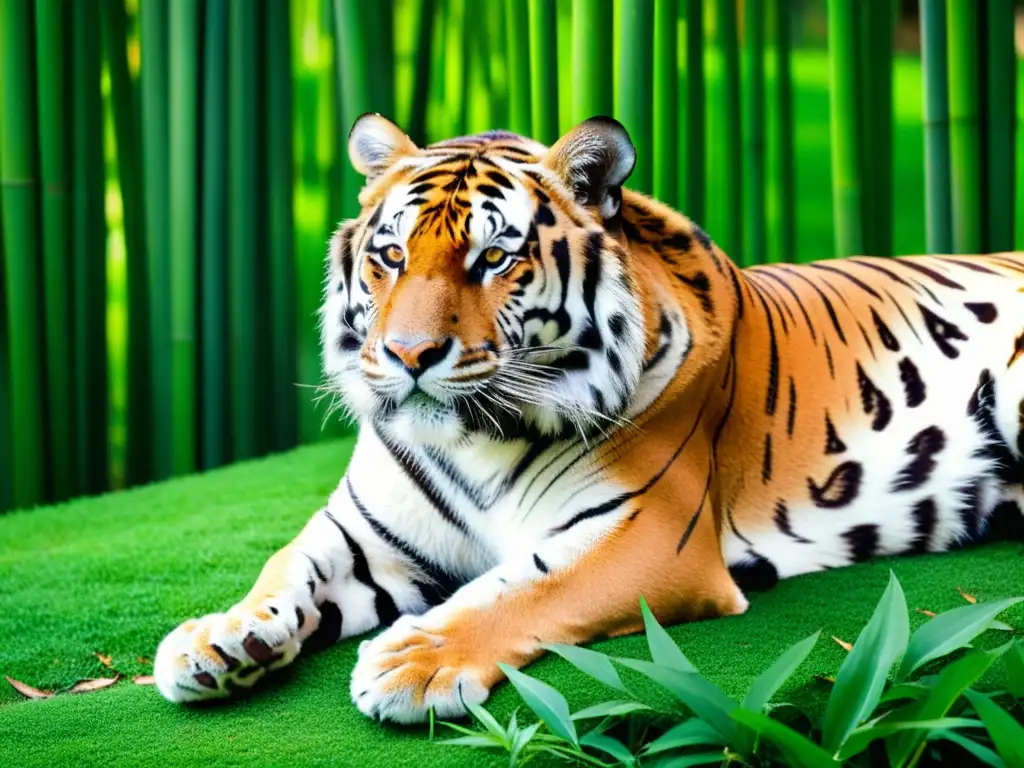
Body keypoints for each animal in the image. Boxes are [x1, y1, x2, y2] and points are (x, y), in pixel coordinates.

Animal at [151, 112, 1024, 720]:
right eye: (391, 256)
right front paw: (218, 637)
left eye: (493, 258)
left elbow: (521, 588)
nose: (407, 354)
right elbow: (285, 564)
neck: (469, 442)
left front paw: (412, 663)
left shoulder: (648, 535)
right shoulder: (363, 535)